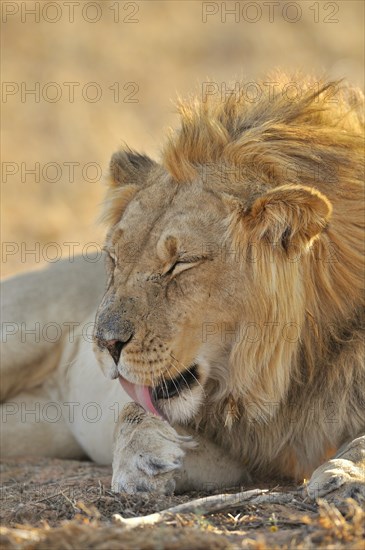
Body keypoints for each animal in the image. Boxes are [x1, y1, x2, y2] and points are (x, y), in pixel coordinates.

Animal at [1, 75, 362, 502]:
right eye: (115, 258)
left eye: (180, 264)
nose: (104, 343)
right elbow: (133, 410)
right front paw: (142, 458)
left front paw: (345, 474)